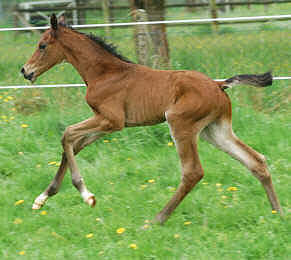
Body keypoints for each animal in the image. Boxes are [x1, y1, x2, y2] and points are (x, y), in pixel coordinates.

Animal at [21, 14, 282, 223]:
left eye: (42, 45)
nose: (25, 71)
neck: (104, 73)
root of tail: (219, 84)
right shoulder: (105, 123)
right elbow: (74, 145)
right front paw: (42, 198)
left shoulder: (112, 121)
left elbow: (66, 135)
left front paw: (87, 196)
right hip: (215, 130)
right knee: (256, 161)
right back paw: (277, 213)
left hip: (180, 124)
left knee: (193, 172)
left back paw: (157, 219)